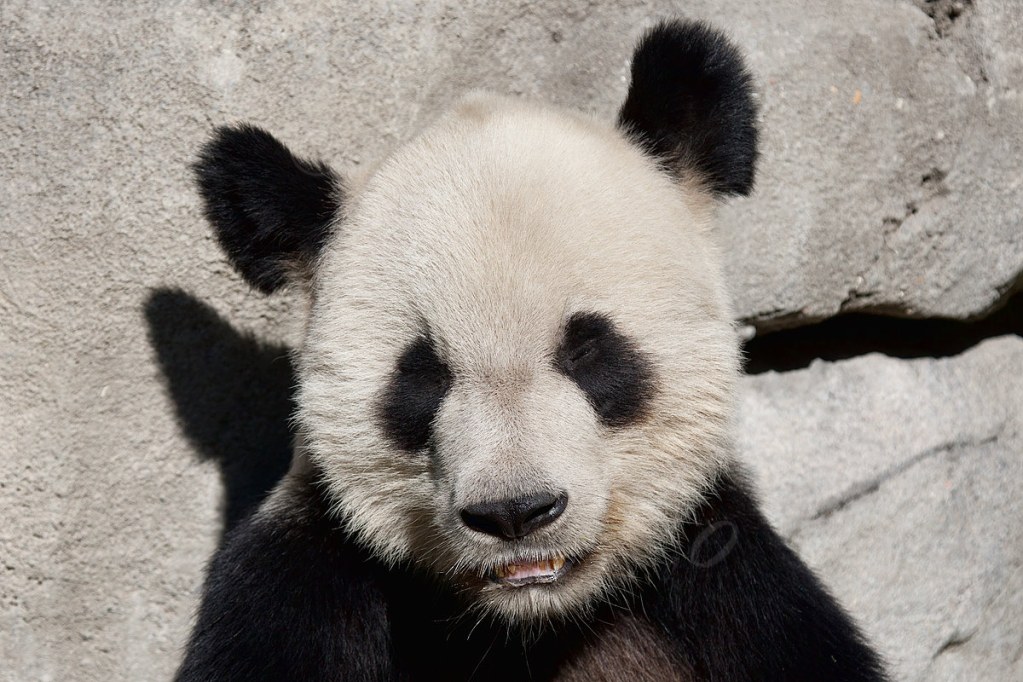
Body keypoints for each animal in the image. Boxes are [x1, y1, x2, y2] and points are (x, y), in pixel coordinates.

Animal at [178, 19, 888, 682]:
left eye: (588, 351)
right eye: (423, 374)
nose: (514, 513)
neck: (529, 621)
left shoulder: (729, 584)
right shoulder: (304, 577)